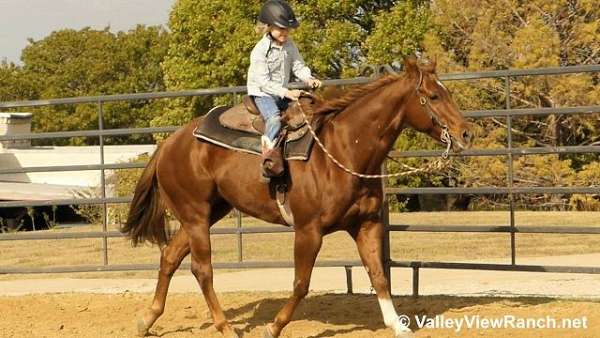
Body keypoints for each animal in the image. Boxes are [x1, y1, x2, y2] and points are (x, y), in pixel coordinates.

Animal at [123, 56, 474, 336]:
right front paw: (273, 327)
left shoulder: (367, 224)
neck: (343, 150)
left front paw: (399, 326)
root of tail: (169, 144)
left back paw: (146, 320)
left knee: (170, 256)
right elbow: (301, 284)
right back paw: (225, 327)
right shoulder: (308, 231)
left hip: (208, 212)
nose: (466, 133)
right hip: (196, 215)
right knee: (201, 269)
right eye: (433, 95)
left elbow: (379, 276)